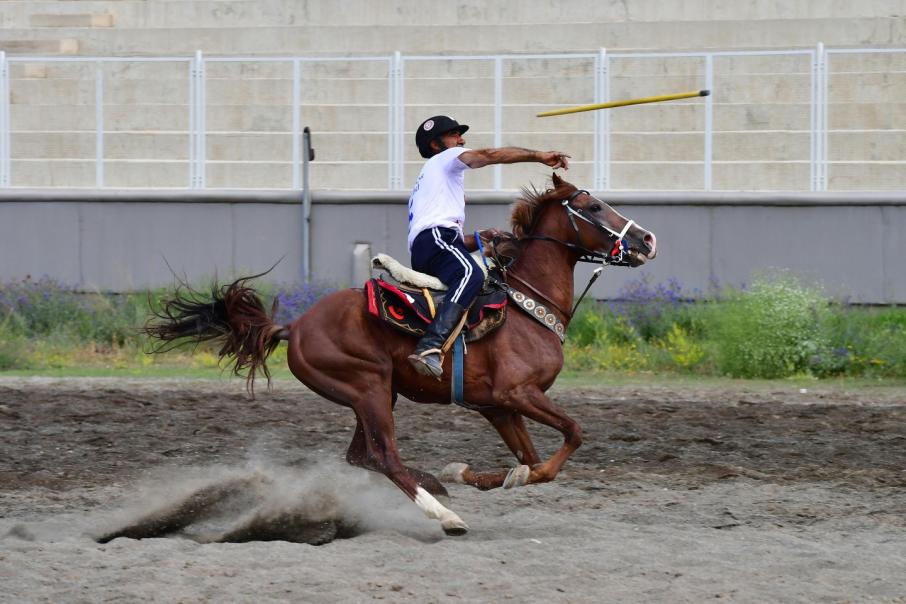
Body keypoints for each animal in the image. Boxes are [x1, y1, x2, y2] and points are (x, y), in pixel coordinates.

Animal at [147, 172, 656, 536]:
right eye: (593, 206)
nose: (647, 240)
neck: (524, 306)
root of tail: (295, 326)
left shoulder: (498, 406)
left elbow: (529, 462)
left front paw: (471, 473)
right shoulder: (519, 394)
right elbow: (571, 436)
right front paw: (485, 477)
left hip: (375, 394)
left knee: (362, 456)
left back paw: (435, 483)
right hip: (369, 389)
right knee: (385, 456)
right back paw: (444, 516)